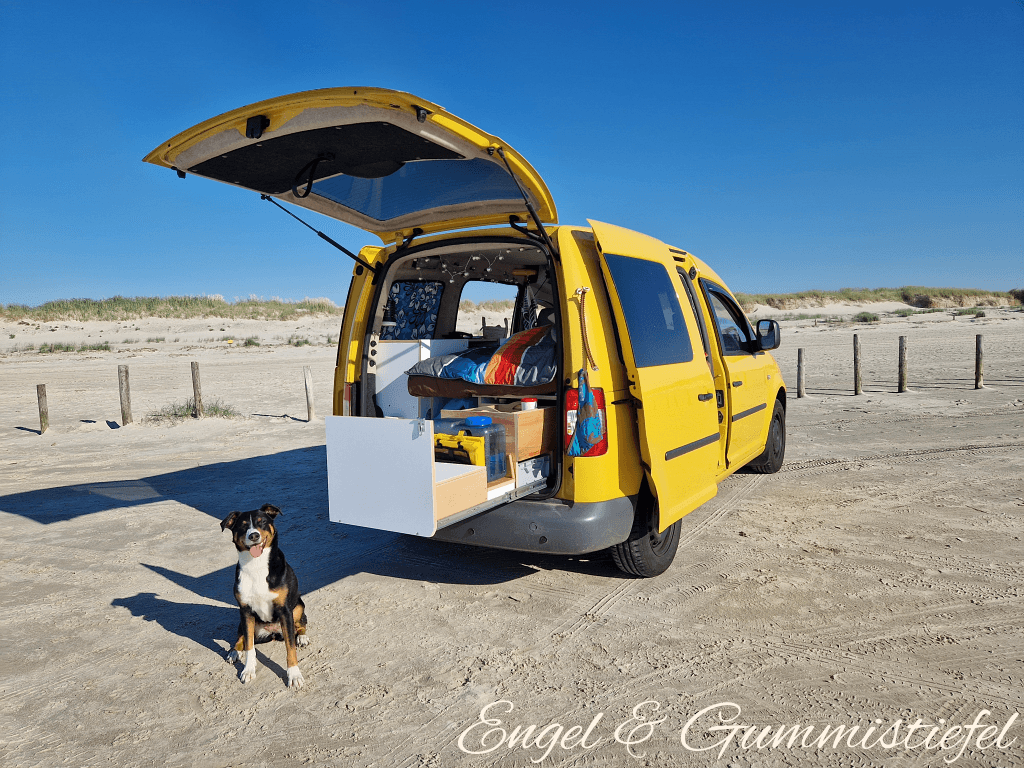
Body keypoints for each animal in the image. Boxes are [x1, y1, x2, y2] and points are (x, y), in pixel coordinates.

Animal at [219, 505, 307, 692]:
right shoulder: (245, 611)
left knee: (301, 625)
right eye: (243, 525)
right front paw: (248, 670)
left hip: (298, 606)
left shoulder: (285, 611)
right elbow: (249, 647)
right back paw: (234, 651)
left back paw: (302, 637)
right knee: (242, 638)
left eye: (263, 522)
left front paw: (294, 675)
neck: (256, 565)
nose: (253, 535)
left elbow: (290, 648)